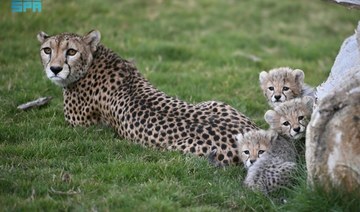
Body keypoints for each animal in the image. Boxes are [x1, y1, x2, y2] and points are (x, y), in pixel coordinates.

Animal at [37, 29, 258, 166]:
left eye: (71, 51)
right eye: (47, 50)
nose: (55, 69)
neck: (92, 60)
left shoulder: (80, 127)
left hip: (178, 150)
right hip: (217, 103)